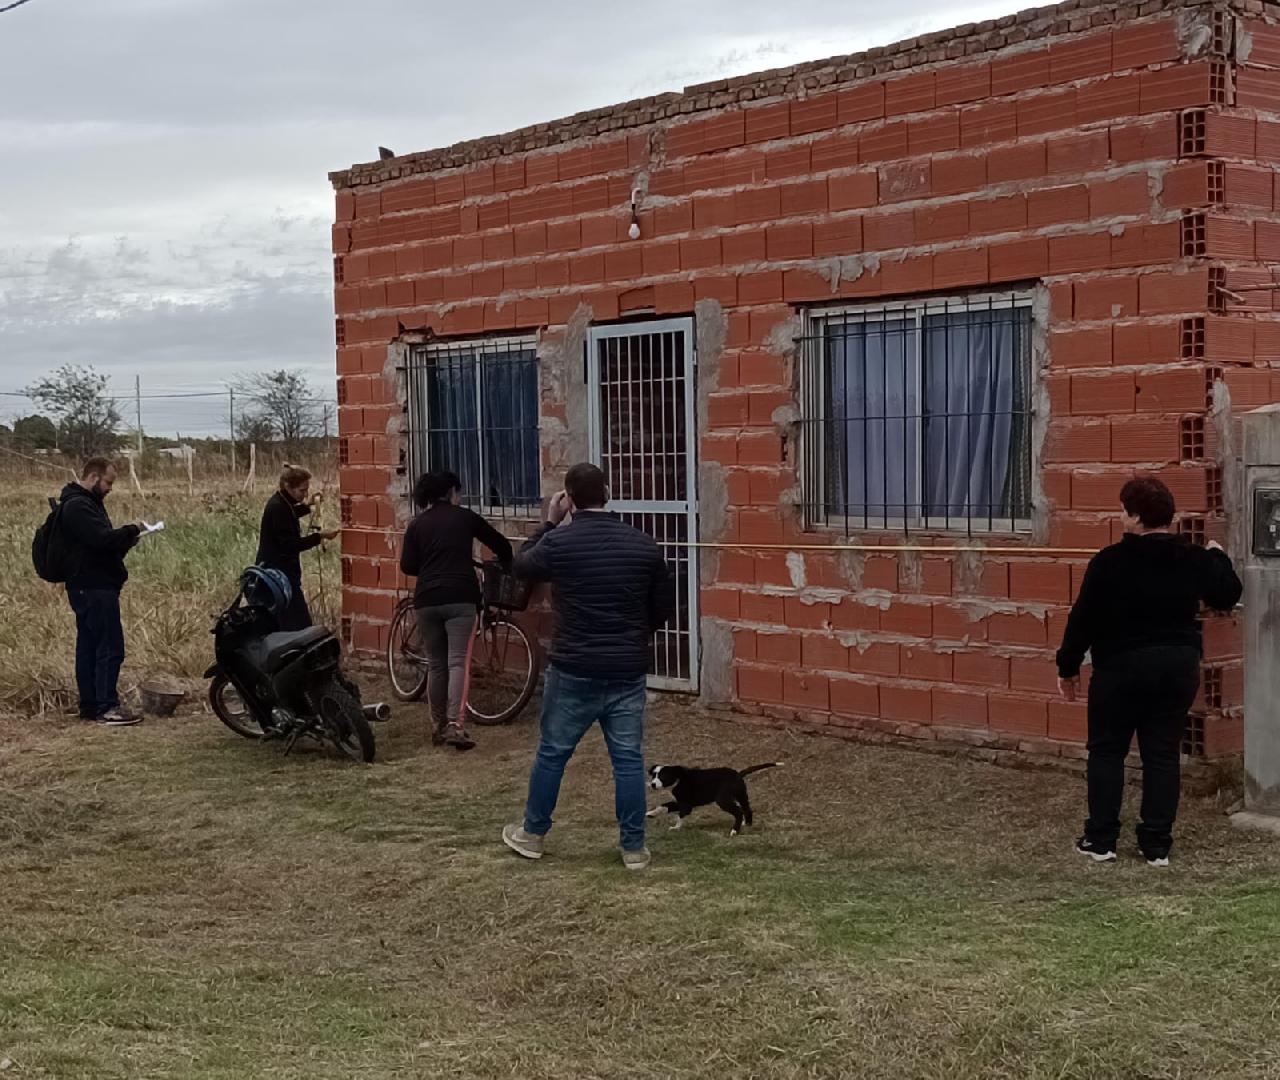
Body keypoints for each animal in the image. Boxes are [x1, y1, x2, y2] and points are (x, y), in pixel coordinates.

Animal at [645, 757, 783, 834]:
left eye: (662, 776)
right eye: (654, 775)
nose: (652, 784)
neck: (679, 779)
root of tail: (738, 774)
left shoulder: (686, 805)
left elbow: (680, 817)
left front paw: (676, 828)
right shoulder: (679, 802)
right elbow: (664, 805)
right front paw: (651, 813)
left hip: (723, 800)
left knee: (739, 812)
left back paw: (734, 831)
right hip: (741, 796)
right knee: (747, 809)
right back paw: (746, 824)